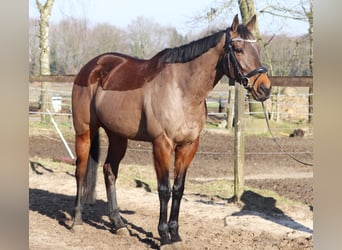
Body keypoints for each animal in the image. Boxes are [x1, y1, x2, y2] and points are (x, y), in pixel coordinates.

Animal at [72, 14, 272, 247]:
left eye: (257, 49)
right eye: (239, 49)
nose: (265, 88)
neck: (182, 90)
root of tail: (92, 67)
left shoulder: (188, 146)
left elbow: (178, 189)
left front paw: (175, 234)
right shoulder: (162, 145)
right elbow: (164, 190)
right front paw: (164, 236)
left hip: (118, 137)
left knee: (109, 171)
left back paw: (118, 223)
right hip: (84, 132)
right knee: (81, 171)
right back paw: (76, 220)